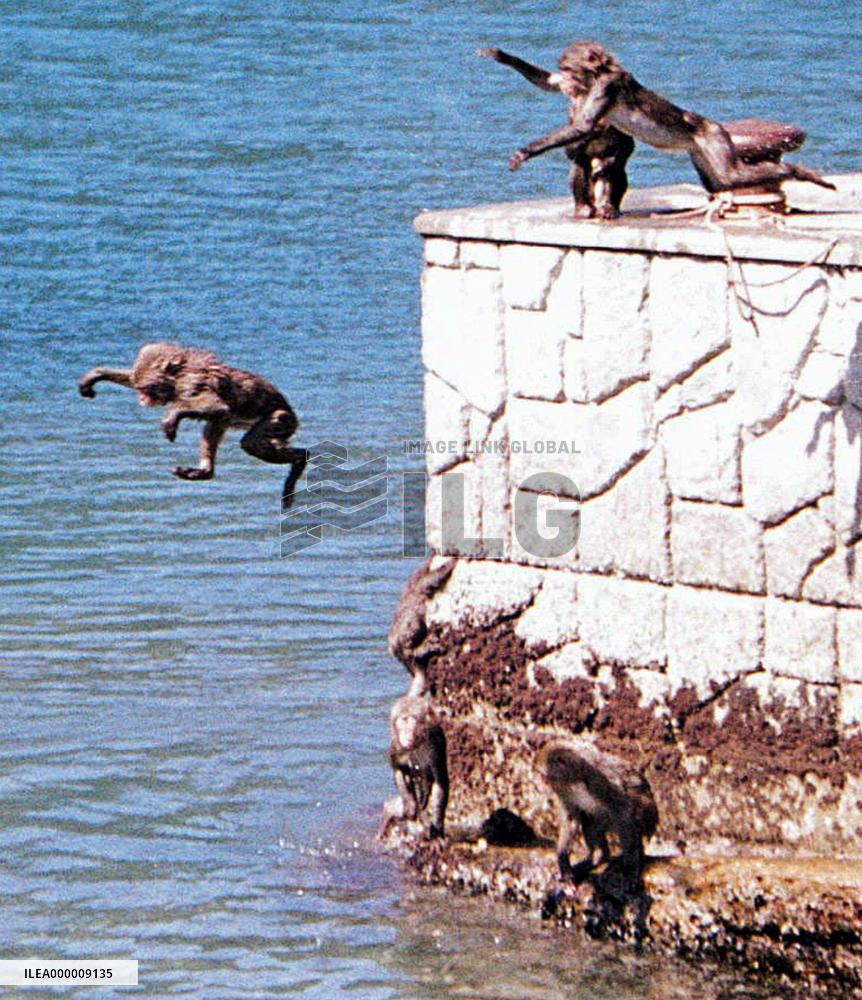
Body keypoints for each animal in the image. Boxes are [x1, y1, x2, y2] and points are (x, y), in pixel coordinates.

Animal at [78, 343, 307, 510]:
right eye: (139, 387)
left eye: (145, 389)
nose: (141, 397)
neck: (179, 374)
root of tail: (291, 411)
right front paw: (96, 375)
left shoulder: (191, 382)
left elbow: (216, 404)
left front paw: (172, 417)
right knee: (221, 425)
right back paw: (205, 471)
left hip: (281, 419)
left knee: (250, 441)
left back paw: (300, 458)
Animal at [378, 675, 449, 841]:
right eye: (402, 721)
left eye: (410, 722)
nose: (405, 734)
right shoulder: (396, 748)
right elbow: (398, 770)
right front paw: (410, 803)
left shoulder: (432, 748)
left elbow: (439, 781)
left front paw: (436, 821)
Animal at [478, 46, 634, 219]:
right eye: (564, 70)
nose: (568, 79)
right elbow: (548, 82)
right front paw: (503, 56)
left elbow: (627, 144)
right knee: (581, 164)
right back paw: (583, 208)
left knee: (617, 171)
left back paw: (610, 207)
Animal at [507, 41, 835, 196]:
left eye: (569, 68)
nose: (566, 78)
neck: (598, 74)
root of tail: (711, 125)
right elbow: (548, 84)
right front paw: (504, 56)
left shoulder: (607, 85)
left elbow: (584, 126)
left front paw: (526, 151)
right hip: (700, 151)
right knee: (721, 182)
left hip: (713, 135)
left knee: (732, 176)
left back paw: (795, 171)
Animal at [537, 740, 658, 891]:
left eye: (544, 777)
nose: (539, 785)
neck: (574, 779)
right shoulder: (562, 789)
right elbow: (571, 818)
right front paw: (564, 863)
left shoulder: (599, 781)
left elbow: (624, 811)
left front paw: (631, 868)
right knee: (590, 822)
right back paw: (599, 856)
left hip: (649, 814)